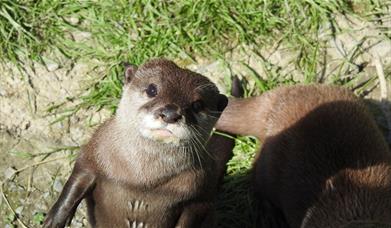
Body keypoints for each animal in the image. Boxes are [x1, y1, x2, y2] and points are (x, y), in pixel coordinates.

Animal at [43, 59, 234, 228]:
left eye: (198, 105)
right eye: (152, 89)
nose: (170, 113)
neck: (142, 180)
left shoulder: (202, 192)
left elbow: (194, 213)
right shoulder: (94, 152)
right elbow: (78, 179)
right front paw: (55, 220)